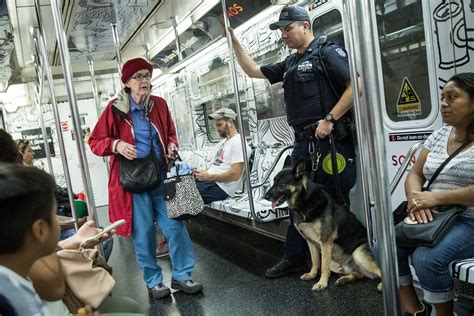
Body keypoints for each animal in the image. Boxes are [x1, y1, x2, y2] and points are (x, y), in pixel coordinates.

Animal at [264, 160, 384, 292]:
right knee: (359, 274)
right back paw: (344, 279)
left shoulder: (326, 243)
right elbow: (315, 262)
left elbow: (323, 267)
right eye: (274, 181)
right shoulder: (310, 242)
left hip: (359, 254)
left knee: (379, 271)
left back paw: (381, 285)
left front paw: (322, 283)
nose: (265, 196)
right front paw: (312, 275)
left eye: (281, 184)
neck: (305, 203)